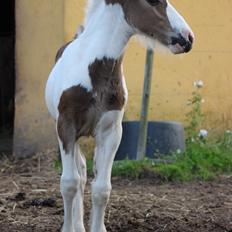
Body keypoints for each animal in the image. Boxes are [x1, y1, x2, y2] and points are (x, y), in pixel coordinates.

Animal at [45, 0, 194, 231]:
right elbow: (69, 183)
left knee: (83, 171)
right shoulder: (66, 126)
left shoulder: (111, 132)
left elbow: (102, 188)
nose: (188, 38)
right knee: (77, 175)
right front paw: (68, 228)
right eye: (153, 1)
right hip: (68, 133)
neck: (94, 71)